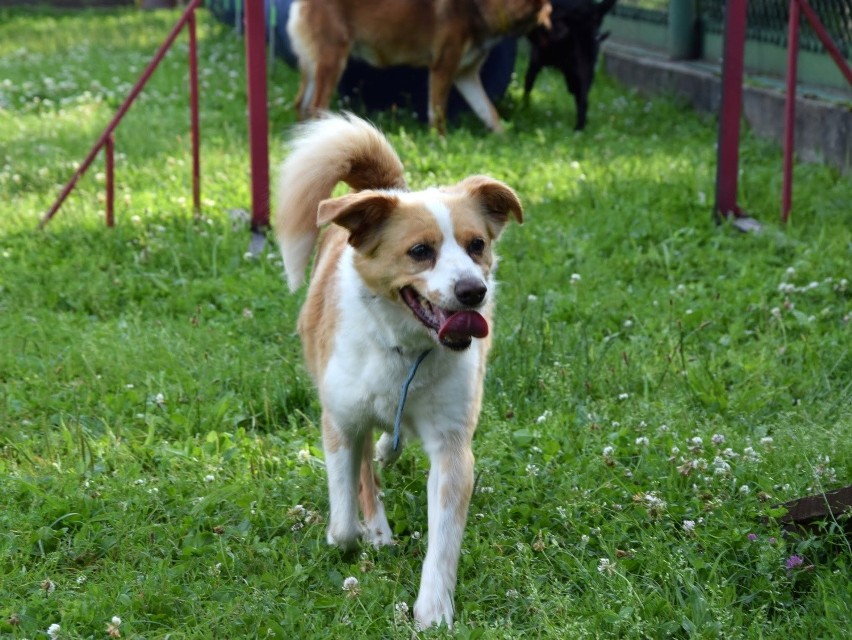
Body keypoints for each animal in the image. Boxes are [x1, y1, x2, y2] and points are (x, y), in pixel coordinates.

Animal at [276, 112, 524, 628]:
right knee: (366, 471)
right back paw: (377, 524)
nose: (473, 292)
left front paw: (434, 610)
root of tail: (387, 188)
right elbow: (344, 516)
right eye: (420, 251)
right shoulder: (341, 422)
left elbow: (444, 539)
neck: (406, 349)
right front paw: (358, 534)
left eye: (476, 245)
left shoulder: (452, 444)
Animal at [286, 0, 552, 132]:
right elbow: (438, 113)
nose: (552, 31)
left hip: (313, 66)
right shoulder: (443, 68)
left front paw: (504, 138)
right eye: (547, 14)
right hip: (332, 61)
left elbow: (489, 113)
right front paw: (440, 142)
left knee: (300, 104)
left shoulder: (466, 76)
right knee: (315, 107)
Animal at [524, 0, 616, 131]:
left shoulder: (536, 57)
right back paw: (580, 126)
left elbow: (528, 83)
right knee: (583, 97)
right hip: (585, 67)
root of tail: (592, 9)